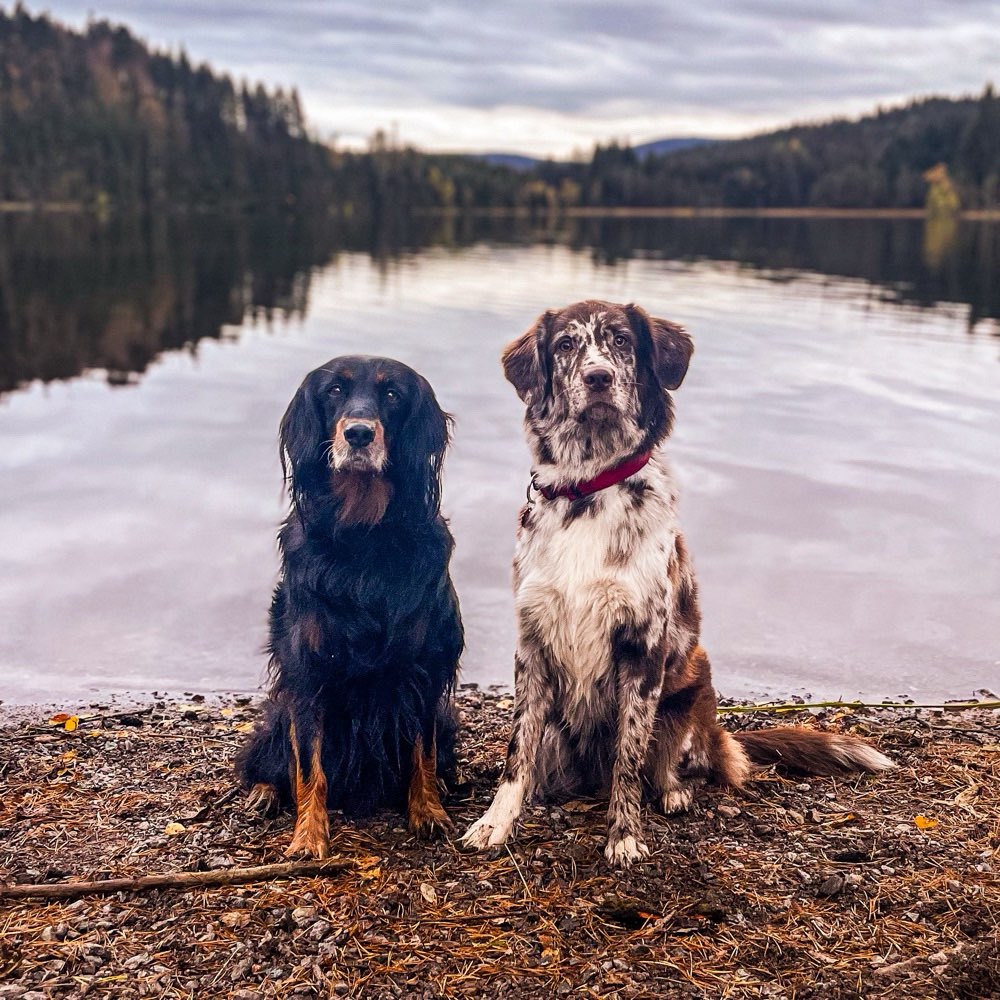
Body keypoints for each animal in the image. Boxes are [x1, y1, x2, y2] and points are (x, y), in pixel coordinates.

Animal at [238, 356, 464, 856]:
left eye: (392, 394)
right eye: (335, 390)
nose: (358, 433)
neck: (364, 537)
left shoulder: (424, 669)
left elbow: (423, 750)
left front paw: (428, 812)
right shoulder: (308, 675)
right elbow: (309, 767)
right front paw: (308, 836)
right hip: (278, 712)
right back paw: (263, 792)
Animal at [464, 298, 896, 868]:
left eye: (622, 341)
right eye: (566, 344)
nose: (598, 377)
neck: (589, 489)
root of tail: (718, 733)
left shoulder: (642, 645)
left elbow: (629, 756)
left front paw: (624, 837)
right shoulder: (532, 642)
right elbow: (518, 751)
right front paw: (496, 822)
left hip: (691, 697)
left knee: (676, 765)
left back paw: (673, 793)